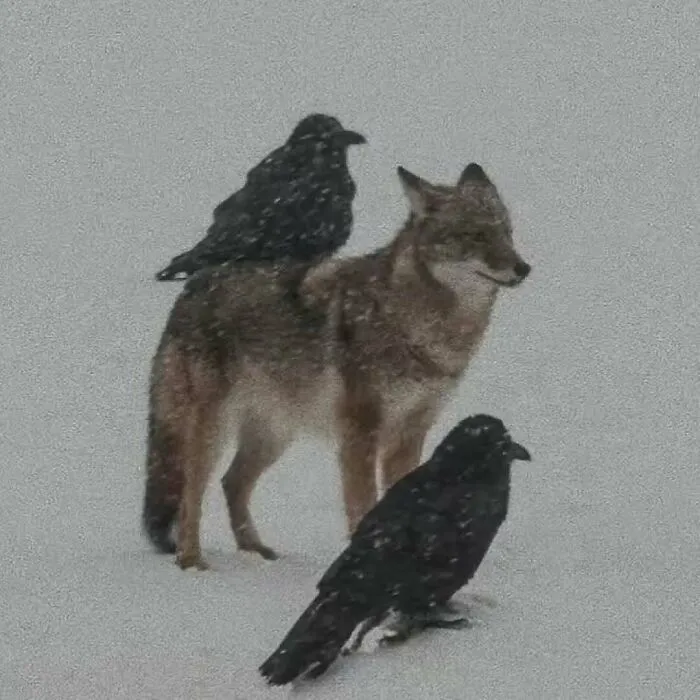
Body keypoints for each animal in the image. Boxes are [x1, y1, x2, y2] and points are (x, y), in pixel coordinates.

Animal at [142, 161, 531, 570]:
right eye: (476, 235)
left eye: (506, 233)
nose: (523, 268)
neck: (418, 324)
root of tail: (189, 291)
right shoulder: (360, 432)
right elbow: (363, 505)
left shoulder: (411, 432)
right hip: (214, 430)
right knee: (191, 491)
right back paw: (191, 561)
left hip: (274, 435)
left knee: (232, 482)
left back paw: (257, 552)